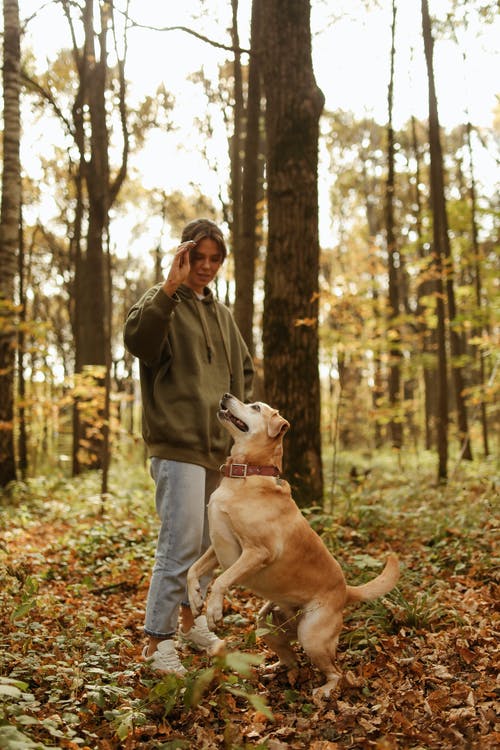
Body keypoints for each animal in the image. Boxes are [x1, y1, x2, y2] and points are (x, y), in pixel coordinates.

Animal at [189, 396, 400, 696]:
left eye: (255, 407)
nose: (226, 395)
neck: (246, 473)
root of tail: (346, 591)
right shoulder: (217, 549)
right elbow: (192, 571)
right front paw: (196, 598)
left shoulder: (257, 552)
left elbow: (221, 581)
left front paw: (214, 610)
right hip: (267, 625)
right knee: (292, 661)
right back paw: (273, 670)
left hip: (311, 635)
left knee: (335, 672)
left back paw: (324, 690)